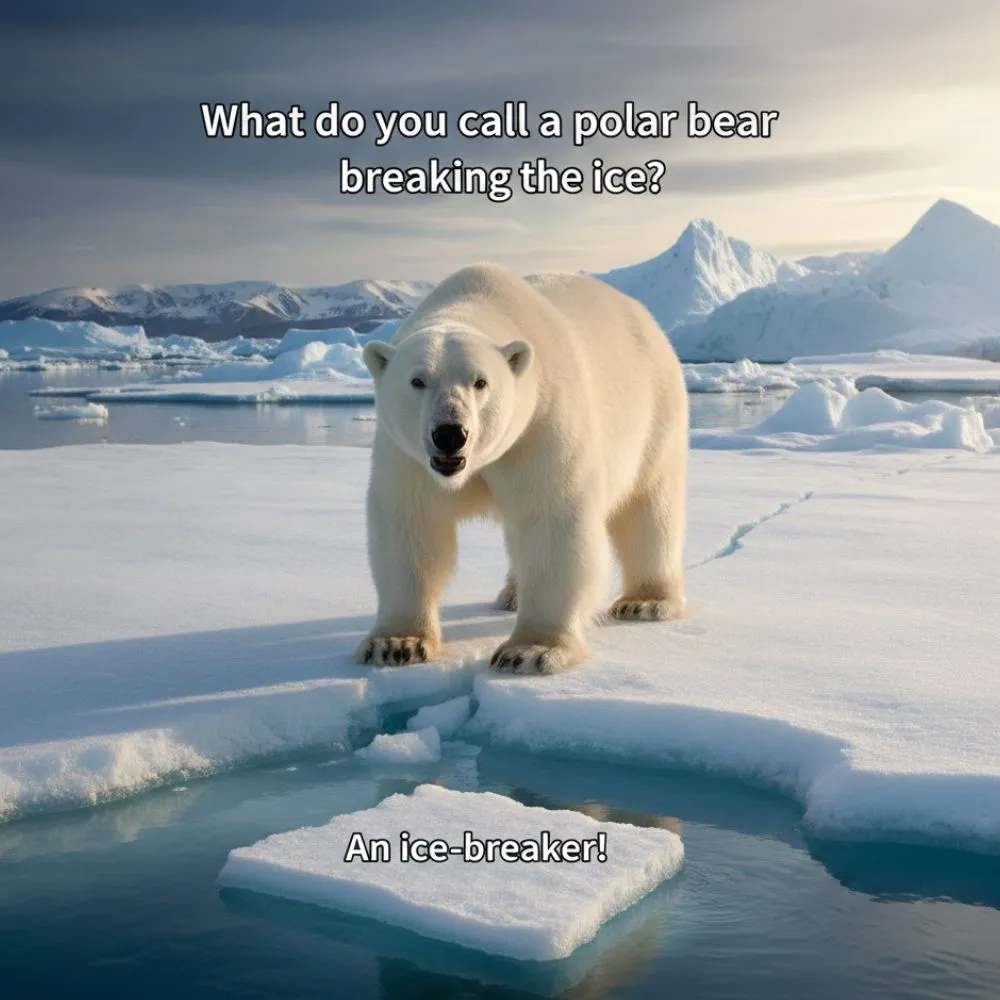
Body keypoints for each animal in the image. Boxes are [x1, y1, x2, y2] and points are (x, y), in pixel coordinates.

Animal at [354, 262, 688, 675]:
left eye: (480, 381)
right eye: (417, 380)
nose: (450, 434)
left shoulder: (540, 425)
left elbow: (553, 521)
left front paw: (529, 651)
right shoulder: (408, 456)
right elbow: (411, 526)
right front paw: (396, 643)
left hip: (656, 414)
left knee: (648, 508)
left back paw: (646, 601)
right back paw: (512, 594)